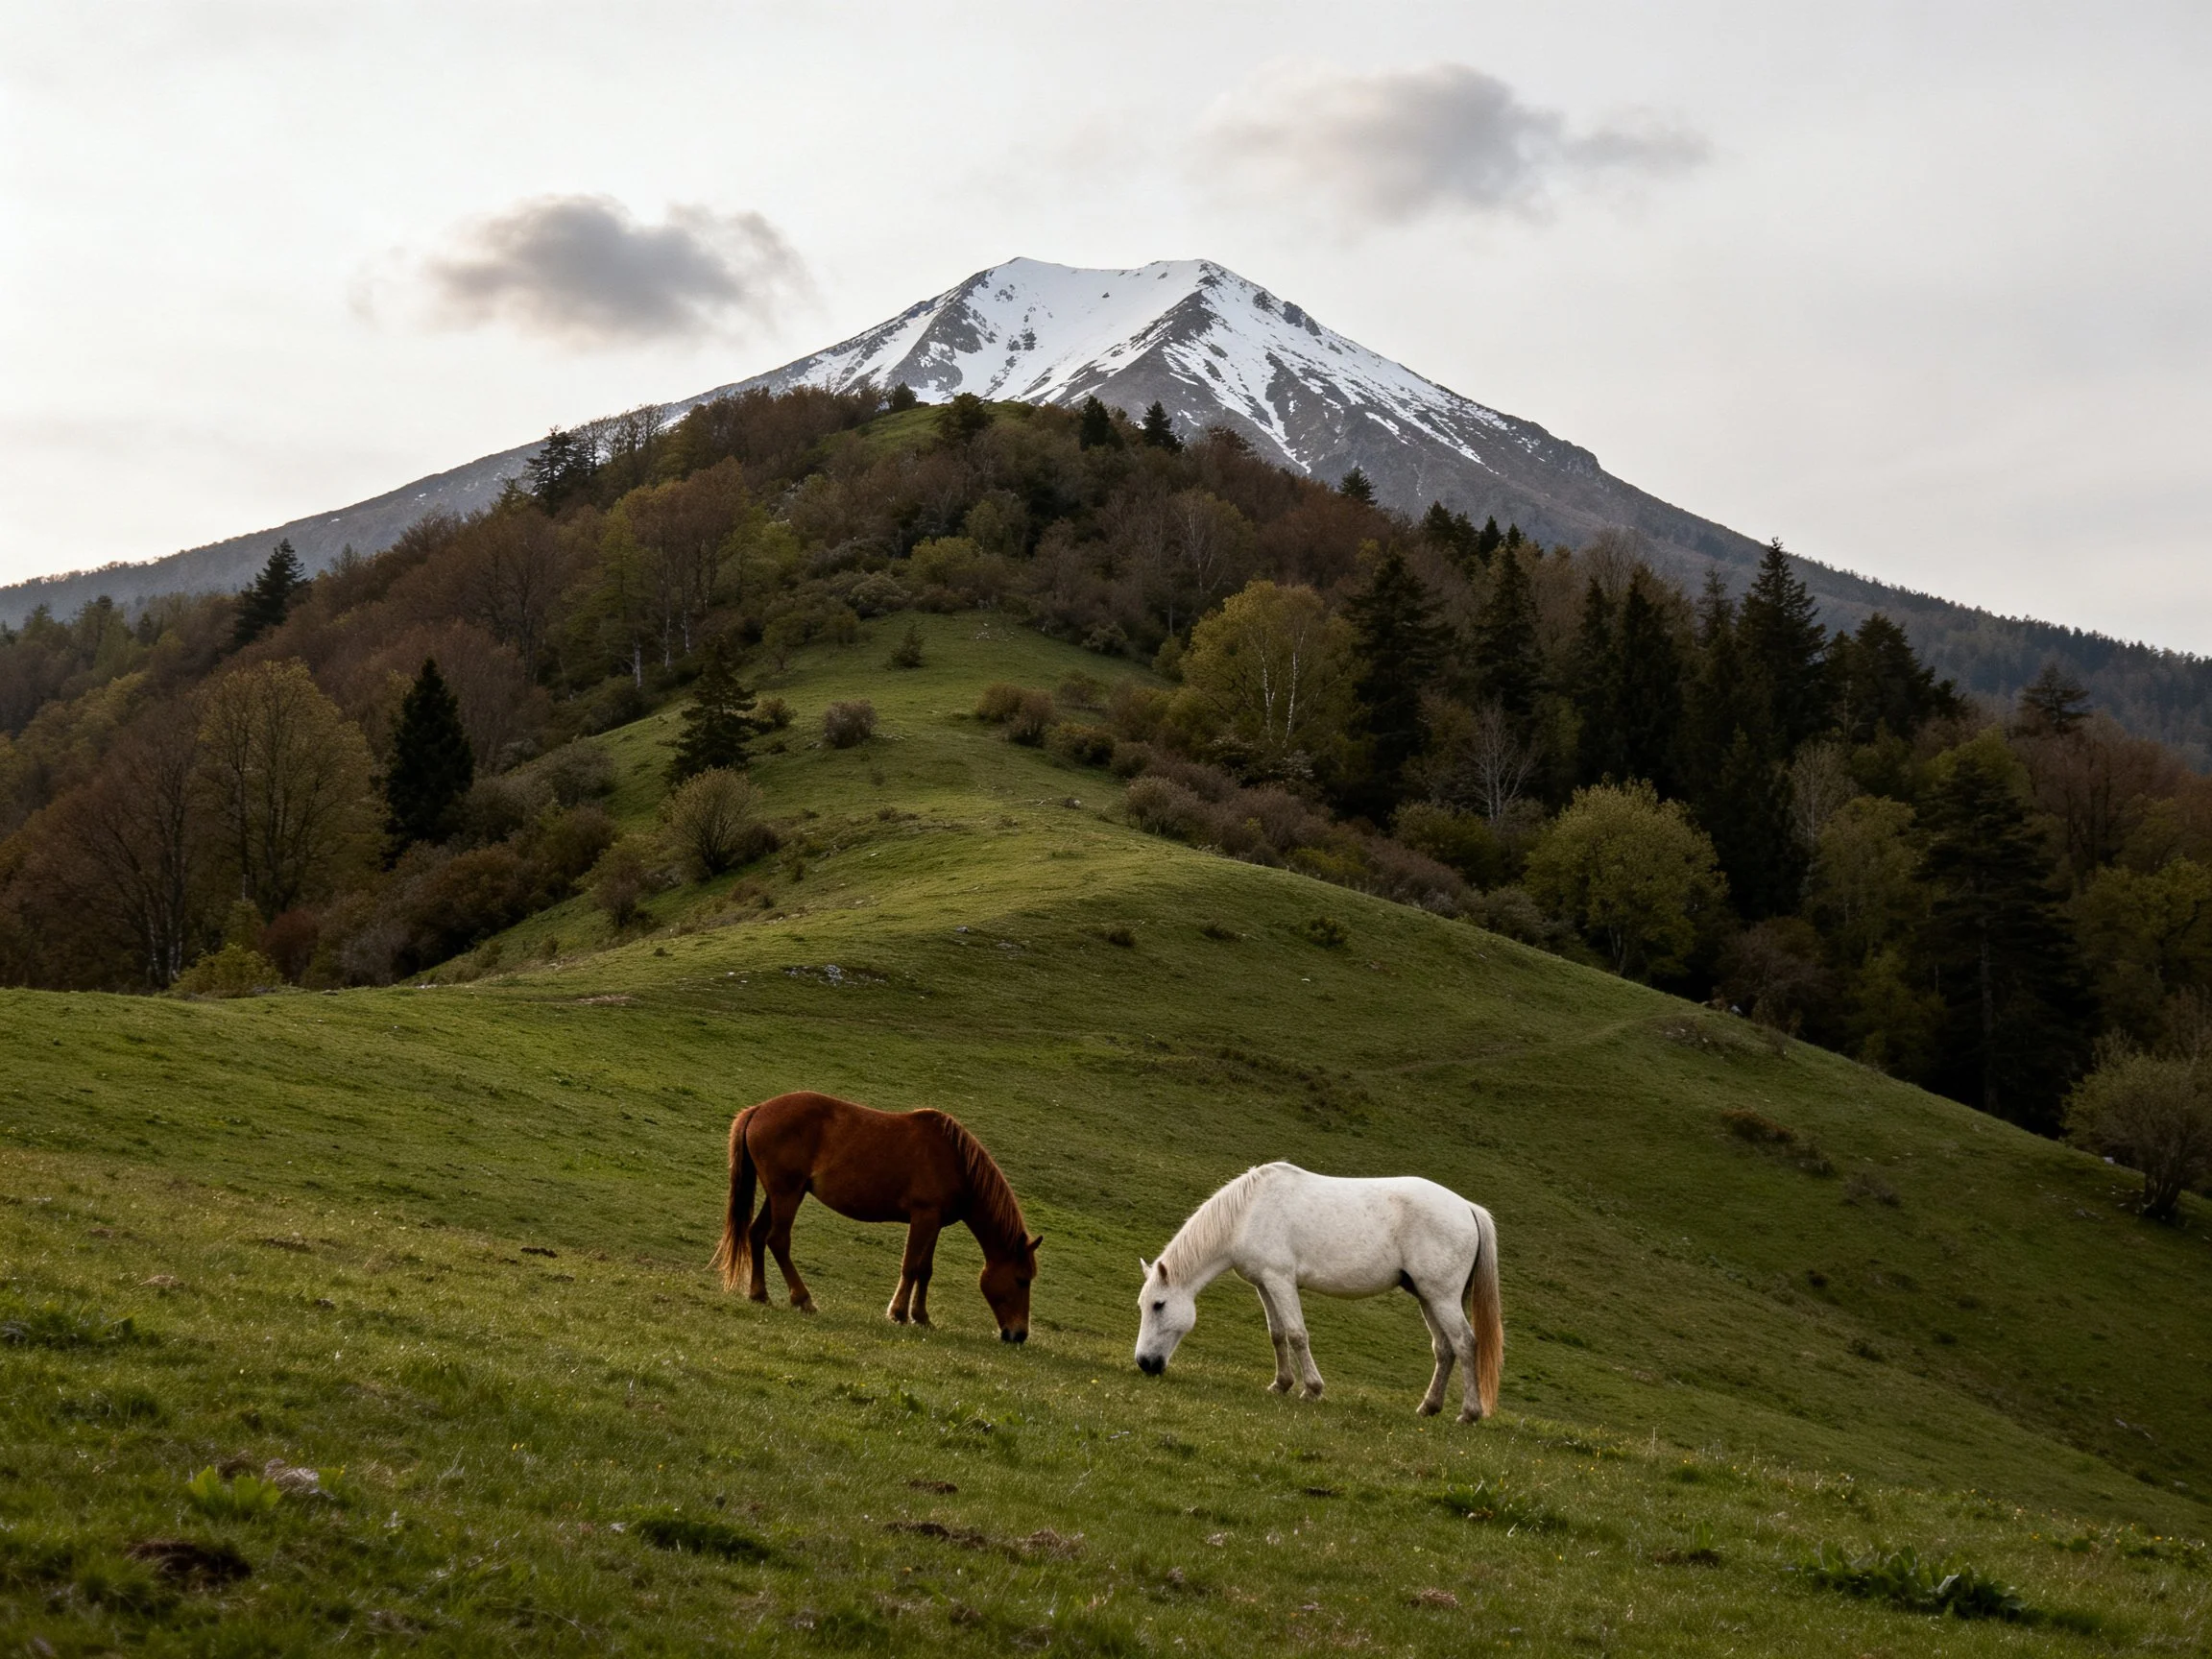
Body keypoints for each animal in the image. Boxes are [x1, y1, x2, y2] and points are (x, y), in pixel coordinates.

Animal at [711, 1091, 1042, 1342]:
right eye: (1021, 1279)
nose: (1018, 1335)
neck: (955, 1161)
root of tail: (758, 1110)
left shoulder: (935, 1222)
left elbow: (925, 1269)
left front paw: (922, 1317)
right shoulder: (923, 1216)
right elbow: (911, 1266)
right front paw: (898, 1313)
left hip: (781, 1194)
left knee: (756, 1234)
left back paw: (759, 1294)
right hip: (787, 1194)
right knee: (778, 1240)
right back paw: (803, 1299)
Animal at [1132, 1162, 1502, 1421]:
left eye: (1159, 1305)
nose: (1145, 1363)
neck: (1248, 1213)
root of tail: (1467, 1207)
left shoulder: (1281, 1280)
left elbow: (1297, 1334)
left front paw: (1311, 1389)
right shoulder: (1265, 1284)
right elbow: (1277, 1334)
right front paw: (1281, 1384)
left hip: (1442, 1297)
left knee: (1465, 1343)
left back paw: (1469, 1414)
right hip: (1427, 1297)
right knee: (1444, 1349)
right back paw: (1429, 1407)